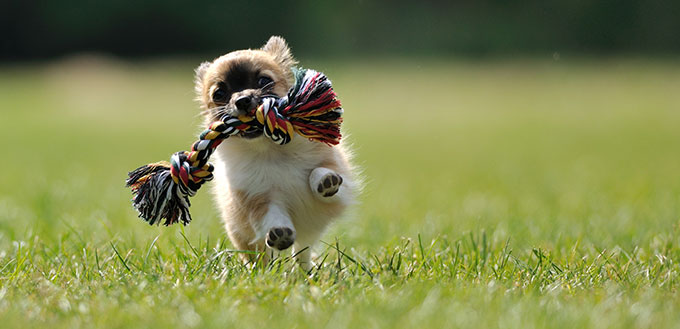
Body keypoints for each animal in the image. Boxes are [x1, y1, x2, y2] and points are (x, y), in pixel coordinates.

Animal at [194, 36, 358, 268]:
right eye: (219, 94)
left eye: (264, 81)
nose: (242, 100)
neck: (271, 149)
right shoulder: (257, 198)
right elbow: (272, 217)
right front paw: (280, 234)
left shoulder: (339, 183)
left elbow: (322, 173)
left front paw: (325, 180)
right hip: (242, 237)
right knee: (261, 257)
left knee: (302, 252)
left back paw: (306, 270)